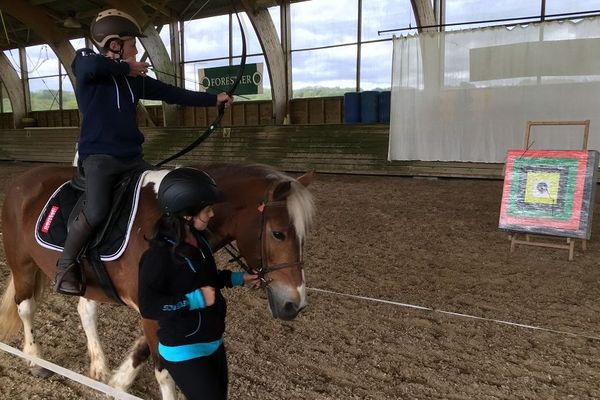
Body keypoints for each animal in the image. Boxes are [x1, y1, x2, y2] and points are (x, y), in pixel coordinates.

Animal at [0, 162, 316, 396]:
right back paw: (35, 359)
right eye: (278, 234)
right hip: (22, 264)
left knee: (85, 311)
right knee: (25, 307)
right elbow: (164, 372)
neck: (172, 226)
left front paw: (118, 383)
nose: (295, 304)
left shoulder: (166, 304)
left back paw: (99, 367)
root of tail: (22, 181)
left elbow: (144, 348)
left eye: (303, 235)